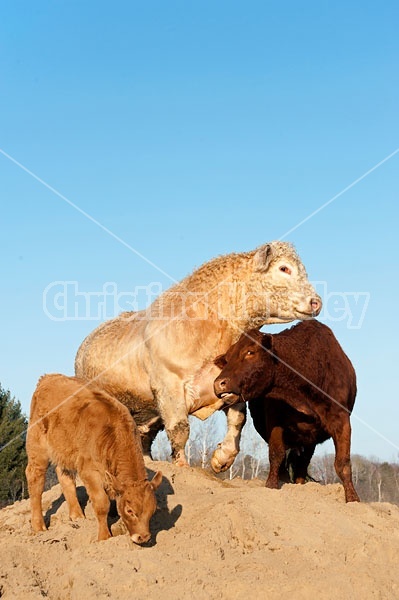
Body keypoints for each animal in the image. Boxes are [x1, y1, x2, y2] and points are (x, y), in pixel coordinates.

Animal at [25, 372, 162, 540]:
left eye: (152, 510)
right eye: (130, 510)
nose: (143, 537)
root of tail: (49, 377)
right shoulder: (89, 471)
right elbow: (102, 503)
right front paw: (104, 536)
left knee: (65, 477)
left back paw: (77, 516)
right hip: (37, 447)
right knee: (35, 479)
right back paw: (39, 526)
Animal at [76, 241, 322, 472]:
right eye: (284, 268)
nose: (316, 301)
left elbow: (238, 420)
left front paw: (223, 458)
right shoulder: (169, 386)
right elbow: (180, 429)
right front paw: (182, 467)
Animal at [214, 318, 360, 502]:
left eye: (250, 352)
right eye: (226, 359)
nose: (219, 383)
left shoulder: (341, 420)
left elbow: (342, 462)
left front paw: (353, 498)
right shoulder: (275, 420)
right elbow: (276, 455)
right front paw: (271, 486)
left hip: (309, 441)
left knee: (302, 466)